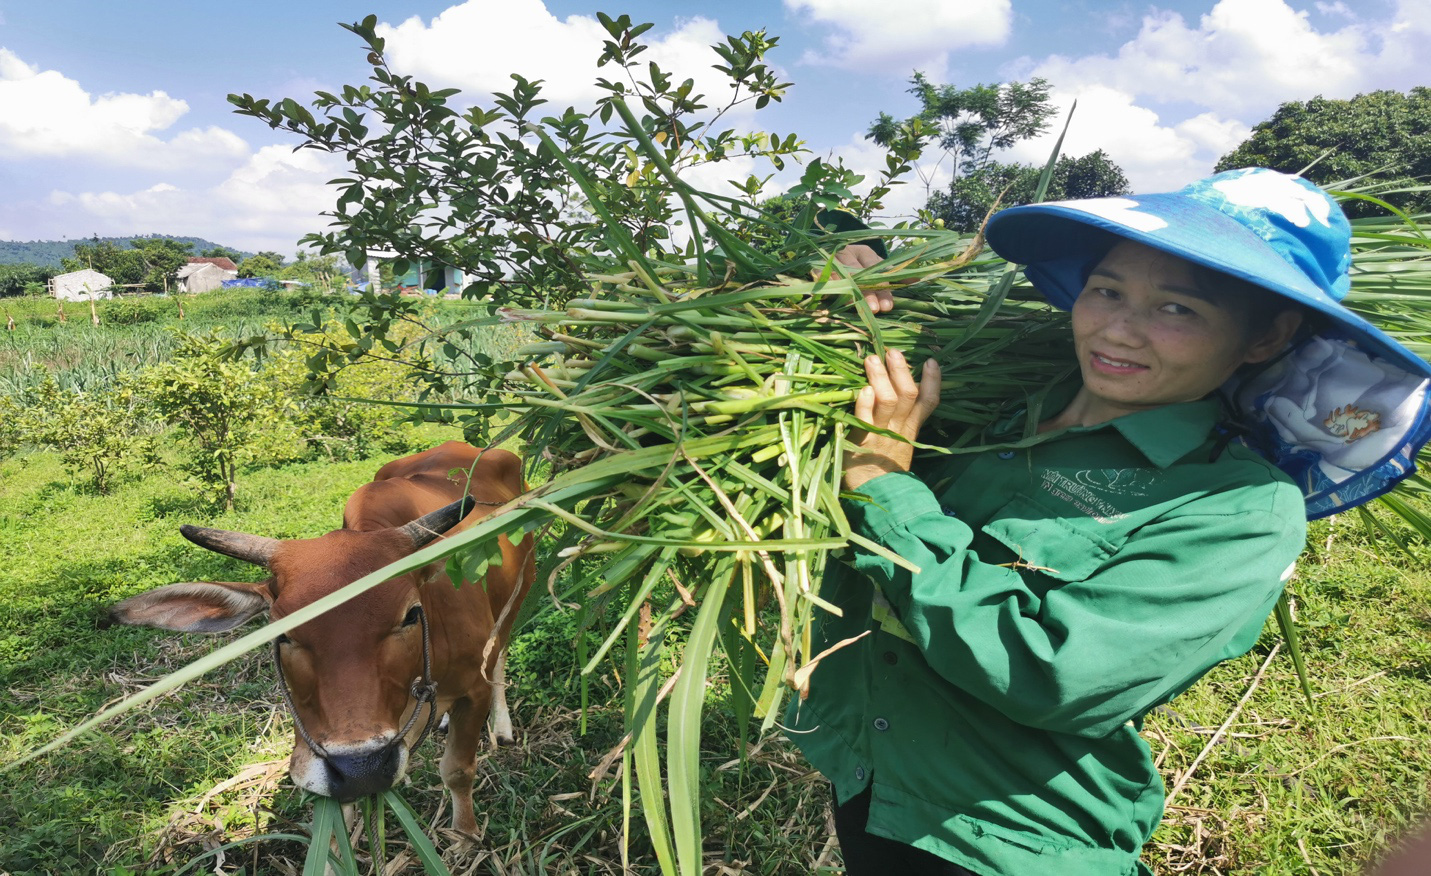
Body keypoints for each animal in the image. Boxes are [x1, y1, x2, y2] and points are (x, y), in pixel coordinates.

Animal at [105, 440, 532, 835]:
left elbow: (458, 771)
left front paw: (465, 836)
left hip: (520, 593)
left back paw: (502, 725)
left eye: (412, 614)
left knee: (501, 653)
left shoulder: (473, 692)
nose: (361, 768)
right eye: (281, 632)